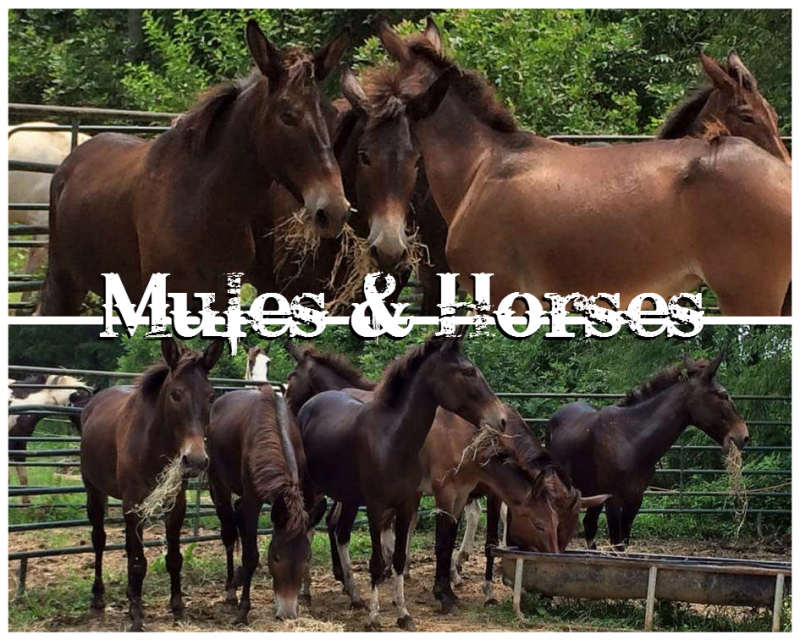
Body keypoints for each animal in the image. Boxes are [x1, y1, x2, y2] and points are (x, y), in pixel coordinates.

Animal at [37, 20, 351, 315]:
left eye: (332, 114)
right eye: (287, 116)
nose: (334, 210)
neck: (203, 205)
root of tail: (71, 161)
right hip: (65, 284)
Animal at [79, 338, 223, 630]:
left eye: (211, 396)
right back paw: (98, 600)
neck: (152, 441)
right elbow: (137, 562)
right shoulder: (133, 503)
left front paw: (178, 608)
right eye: (175, 394)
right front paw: (136, 615)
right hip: (94, 491)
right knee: (99, 540)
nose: (195, 459)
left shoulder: (175, 504)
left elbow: (174, 558)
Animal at [207, 384, 327, 623]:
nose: (288, 612)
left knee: (238, 514)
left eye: (307, 557)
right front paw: (243, 609)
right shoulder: (253, 499)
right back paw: (231, 590)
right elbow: (251, 555)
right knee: (229, 533)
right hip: (219, 485)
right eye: (275, 556)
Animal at [297, 328, 506, 629]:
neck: (392, 438)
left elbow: (398, 556)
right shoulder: (376, 507)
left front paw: (403, 613)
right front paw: (375, 617)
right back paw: (304, 594)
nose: (501, 419)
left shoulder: (407, 504)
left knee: (336, 529)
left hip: (346, 495)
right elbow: (376, 560)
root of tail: (308, 405)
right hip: (311, 490)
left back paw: (353, 595)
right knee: (307, 529)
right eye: (468, 372)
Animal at [546, 351, 749, 551]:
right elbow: (617, 544)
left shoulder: (635, 499)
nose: (743, 436)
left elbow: (624, 543)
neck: (631, 438)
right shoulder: (614, 500)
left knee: (589, 525)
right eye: (723, 395)